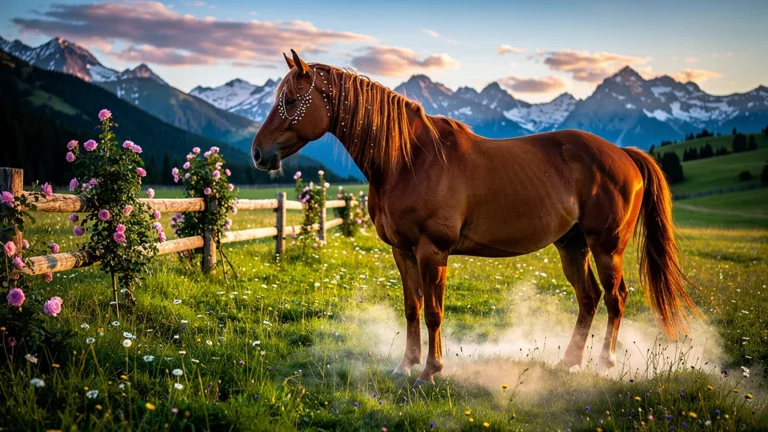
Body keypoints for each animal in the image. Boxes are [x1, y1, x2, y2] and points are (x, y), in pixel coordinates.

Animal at [251, 50, 701, 385]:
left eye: (290, 101)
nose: (258, 153)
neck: (408, 160)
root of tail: (623, 153)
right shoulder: (402, 252)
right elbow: (412, 308)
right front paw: (405, 365)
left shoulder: (432, 252)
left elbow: (434, 312)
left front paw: (431, 371)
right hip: (572, 245)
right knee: (588, 298)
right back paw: (569, 363)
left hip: (606, 246)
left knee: (615, 297)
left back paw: (604, 363)